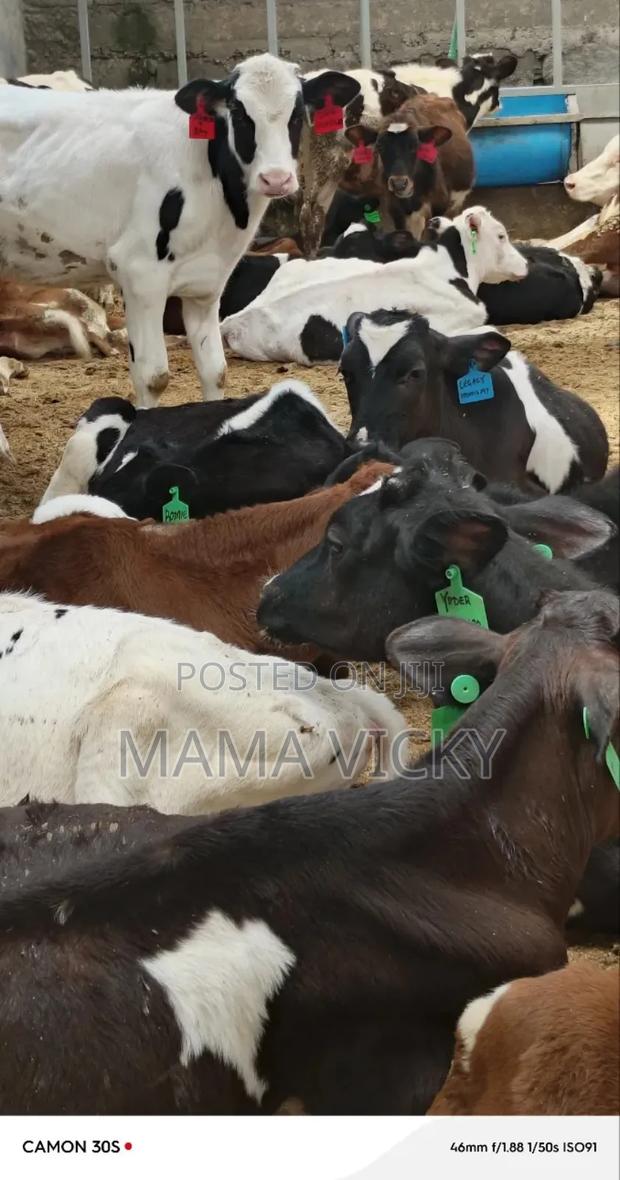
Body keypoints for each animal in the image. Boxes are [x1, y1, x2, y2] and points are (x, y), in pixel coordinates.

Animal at [0, 55, 359, 406]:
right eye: (238, 112)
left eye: (296, 113)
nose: (276, 178)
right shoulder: (139, 274)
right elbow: (152, 376)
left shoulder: (207, 283)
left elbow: (216, 370)